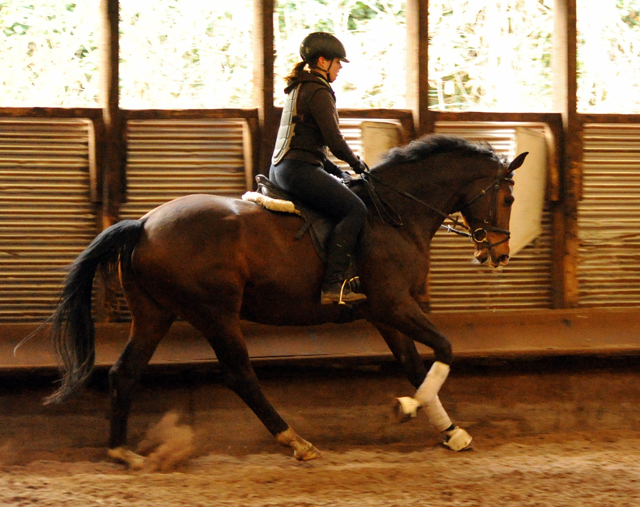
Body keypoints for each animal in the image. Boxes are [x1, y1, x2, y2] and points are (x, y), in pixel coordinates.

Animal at [42, 133, 528, 466]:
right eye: (507, 197)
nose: (499, 253)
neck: (395, 213)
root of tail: (143, 224)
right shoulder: (394, 304)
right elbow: (444, 349)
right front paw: (408, 408)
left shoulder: (384, 313)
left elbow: (415, 364)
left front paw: (451, 432)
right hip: (216, 312)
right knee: (240, 376)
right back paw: (296, 441)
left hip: (154, 313)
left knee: (125, 372)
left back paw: (122, 452)